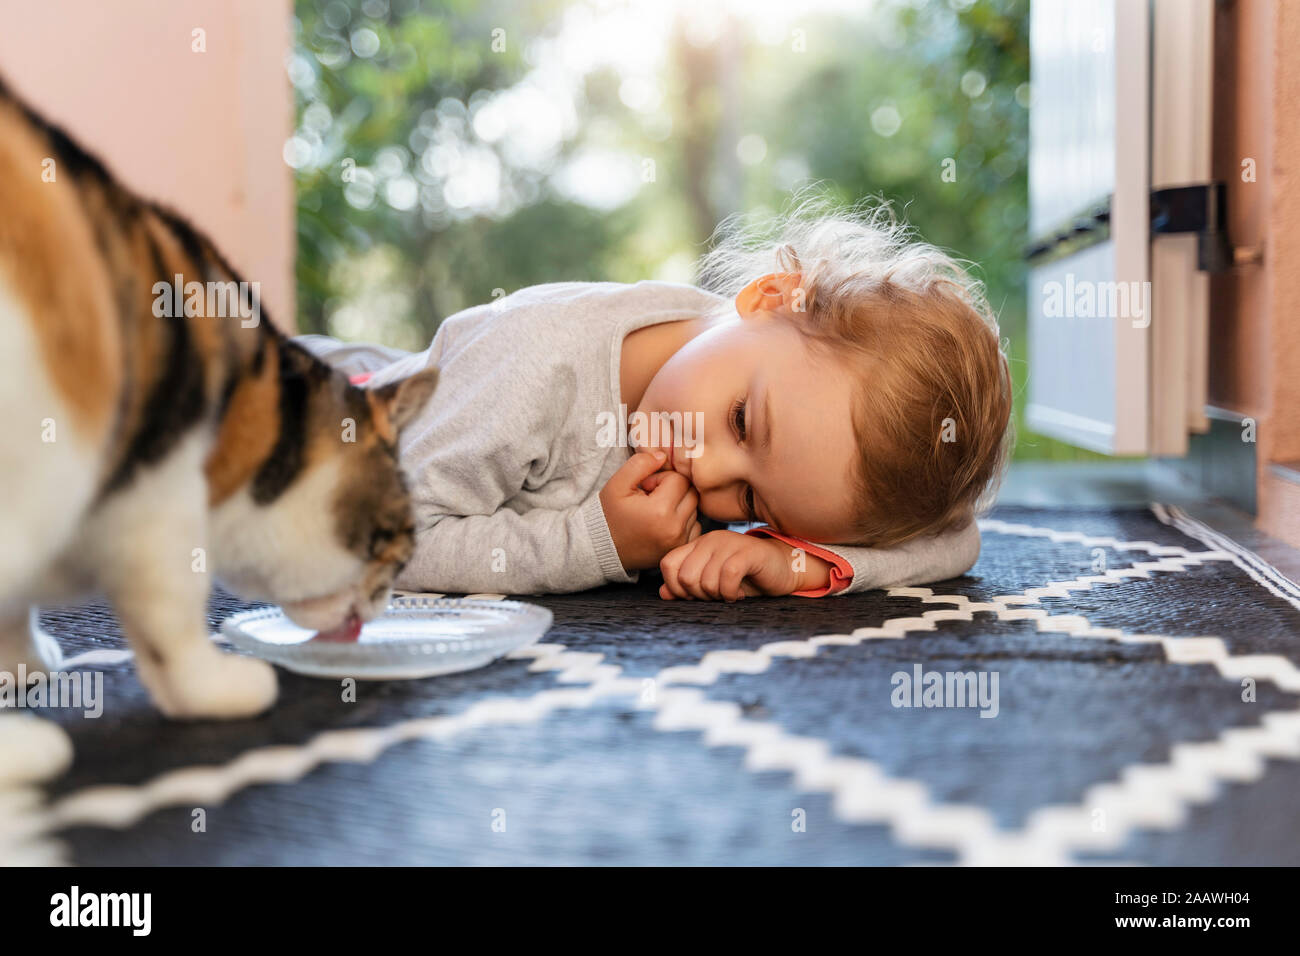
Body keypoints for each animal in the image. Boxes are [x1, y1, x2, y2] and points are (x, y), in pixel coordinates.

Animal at [0, 76, 441, 717]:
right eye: (398, 544)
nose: (384, 605)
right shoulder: (157, 493)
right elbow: (172, 607)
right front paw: (213, 686)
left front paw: (23, 662)